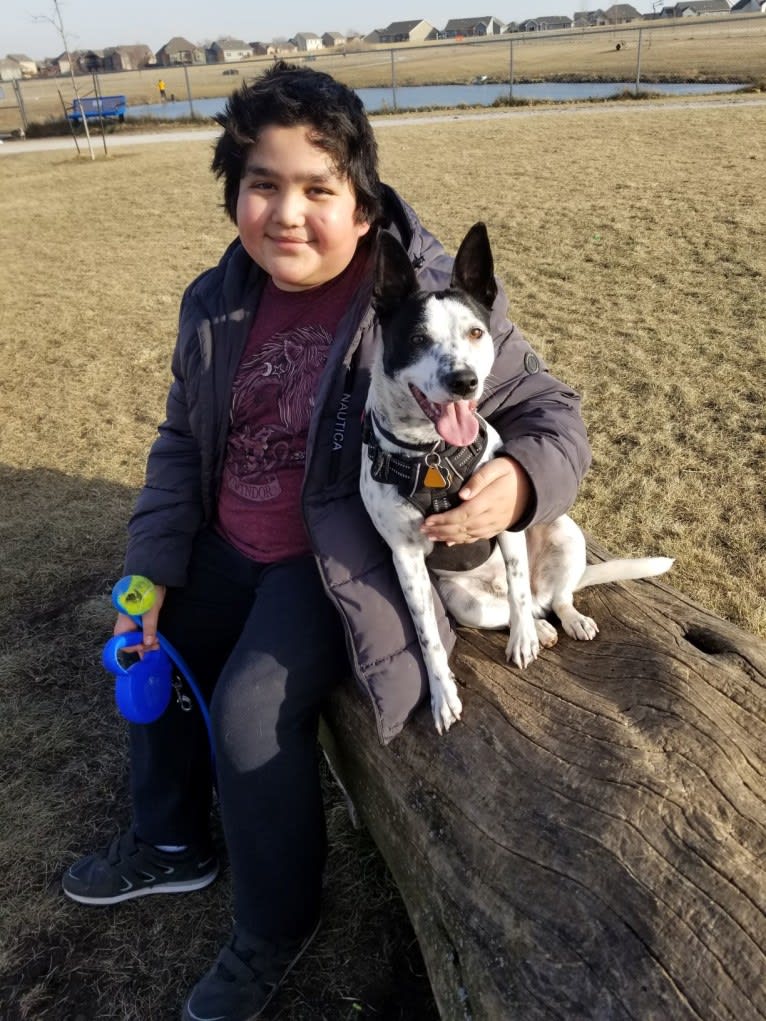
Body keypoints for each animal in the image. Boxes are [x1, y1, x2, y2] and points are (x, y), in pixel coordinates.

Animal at [363, 223, 674, 735]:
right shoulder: (405, 559)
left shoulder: (504, 514)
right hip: (465, 601)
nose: (464, 381)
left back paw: (560, 621)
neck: (433, 455)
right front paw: (443, 695)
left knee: (548, 595)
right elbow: (428, 637)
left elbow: (515, 575)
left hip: (564, 531)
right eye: (417, 338)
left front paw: (524, 642)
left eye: (476, 332)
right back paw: (541, 625)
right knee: (518, 606)